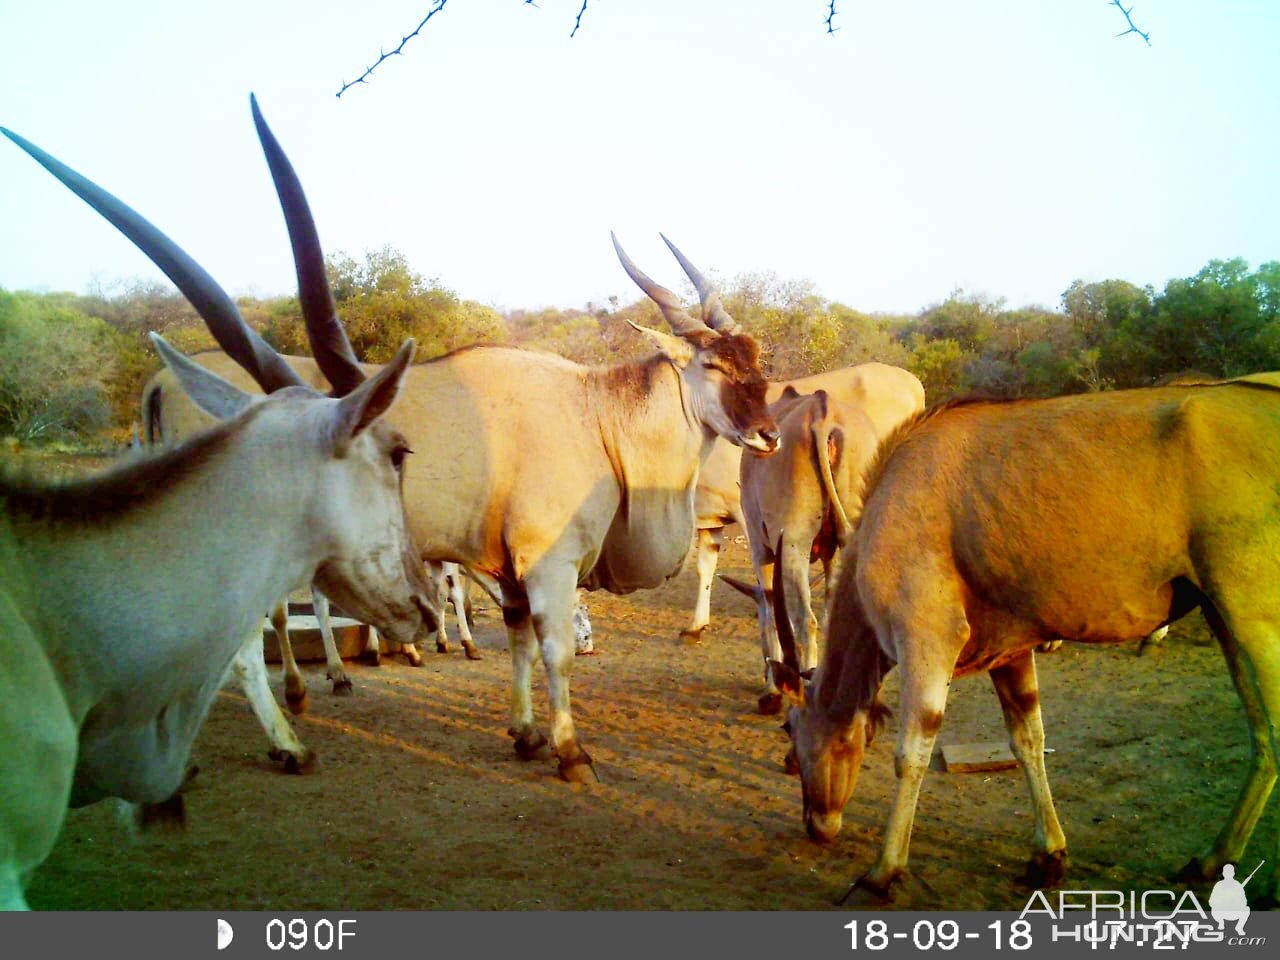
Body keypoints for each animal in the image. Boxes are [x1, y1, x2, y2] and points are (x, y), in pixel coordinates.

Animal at [768, 378, 1280, 906]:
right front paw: (1048, 855)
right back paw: (1213, 858)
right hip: (1223, 617)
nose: (816, 824)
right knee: (1260, 734)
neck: (893, 494)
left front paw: (882, 872)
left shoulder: (927, 638)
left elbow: (912, 752)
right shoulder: (1010, 654)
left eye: (791, 727)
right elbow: (1028, 738)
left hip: (1251, 615)